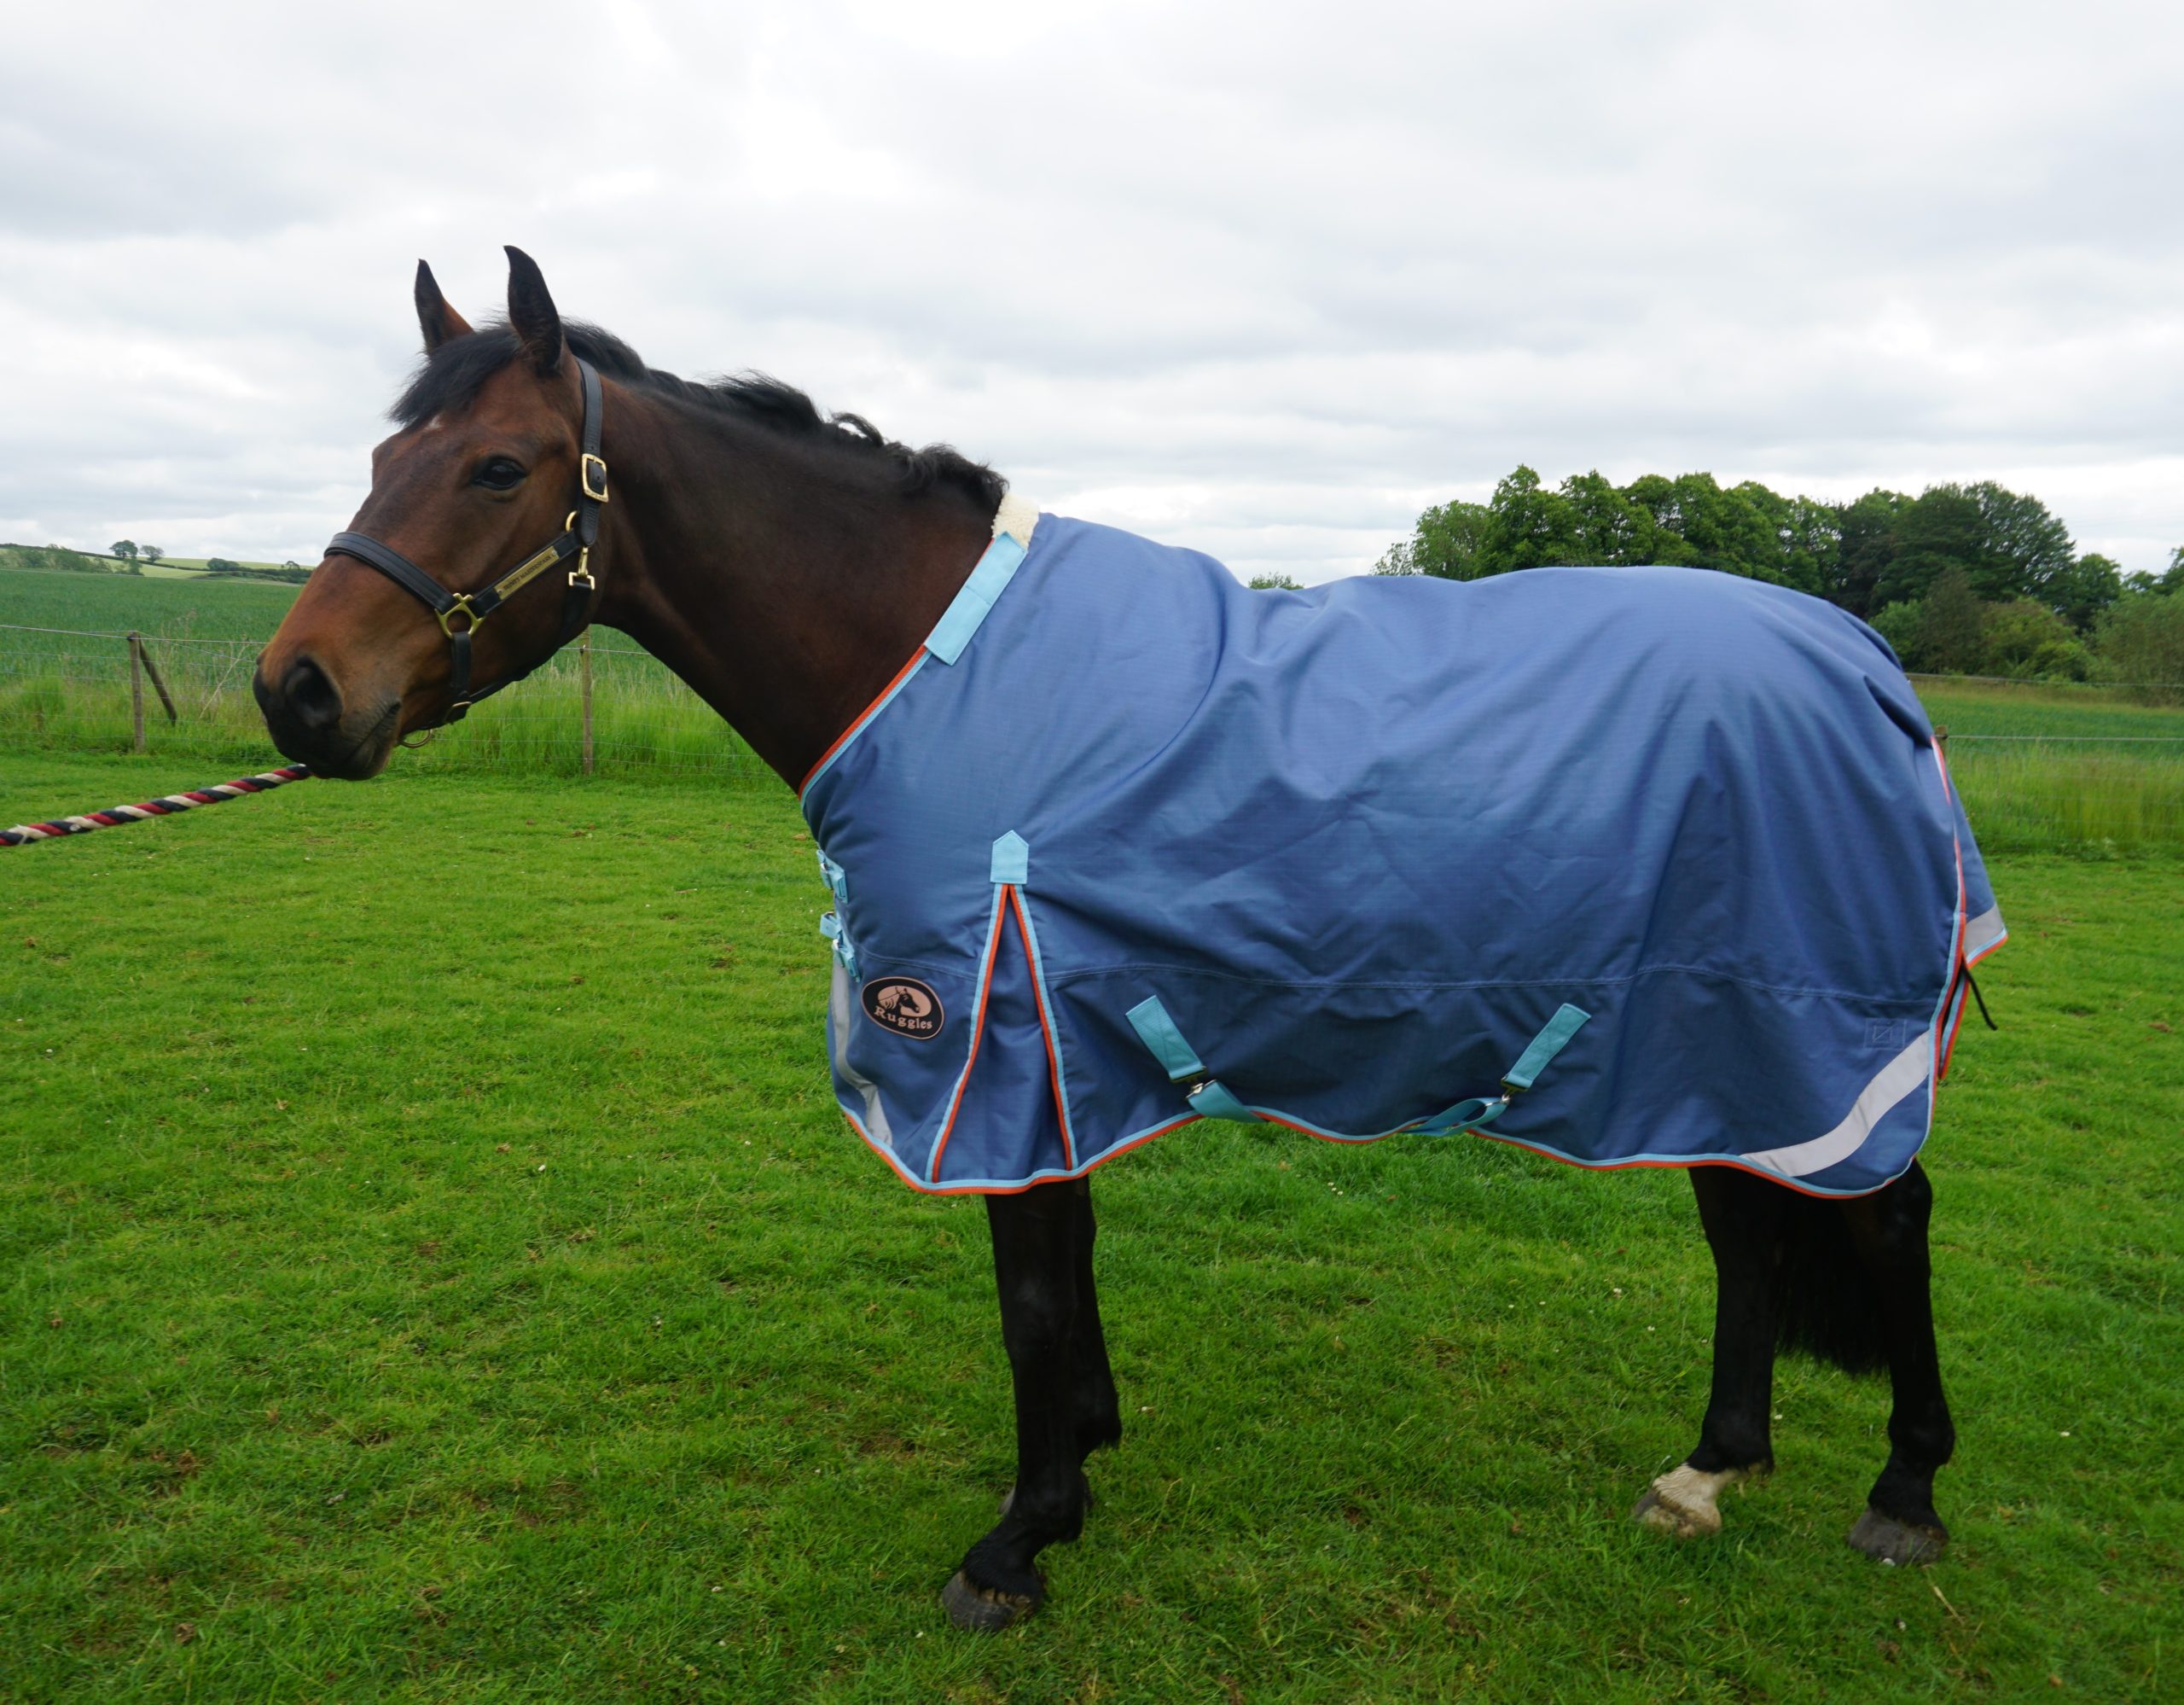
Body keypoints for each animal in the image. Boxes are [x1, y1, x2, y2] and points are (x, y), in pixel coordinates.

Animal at [255, 248, 2000, 1633]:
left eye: (497, 467)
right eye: (383, 448)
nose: (299, 692)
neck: (934, 663)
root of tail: (1863, 659)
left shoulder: (989, 1031)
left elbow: (1032, 1289)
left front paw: (1014, 1546)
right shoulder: (1050, 1042)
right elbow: (1065, 1273)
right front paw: (1081, 1463)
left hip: (1799, 1024)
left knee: (1887, 1220)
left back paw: (1904, 1494)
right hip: (1703, 1035)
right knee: (1750, 1226)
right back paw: (1709, 1468)